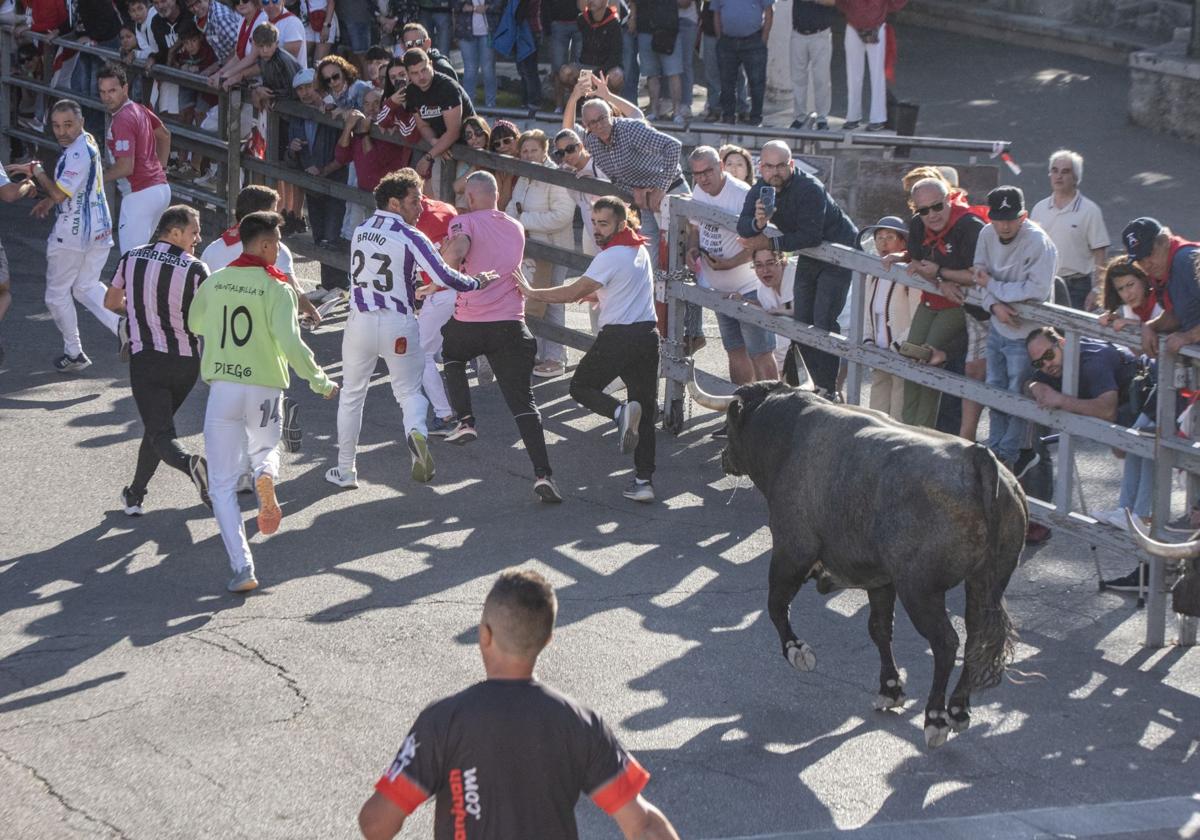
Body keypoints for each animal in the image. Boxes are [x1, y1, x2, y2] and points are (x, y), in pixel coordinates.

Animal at [715, 381, 1027, 748]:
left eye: (730, 425)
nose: (723, 457)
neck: (788, 433)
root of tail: (977, 457)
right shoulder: (879, 579)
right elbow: (879, 629)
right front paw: (890, 689)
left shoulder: (792, 550)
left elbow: (776, 605)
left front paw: (798, 652)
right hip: (984, 581)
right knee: (975, 637)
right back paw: (959, 709)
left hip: (919, 590)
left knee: (946, 643)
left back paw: (935, 717)